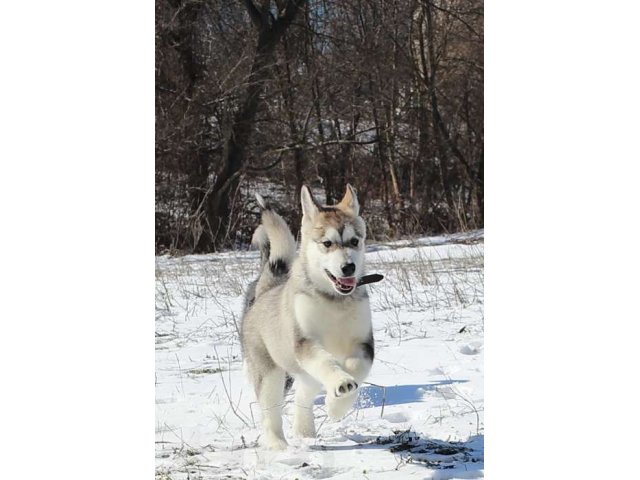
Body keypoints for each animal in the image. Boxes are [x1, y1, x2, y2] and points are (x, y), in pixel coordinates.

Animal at [242, 185, 378, 450]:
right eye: (327, 243)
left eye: (354, 241)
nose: (348, 267)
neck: (334, 301)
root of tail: (265, 291)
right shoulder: (305, 342)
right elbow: (327, 362)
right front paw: (341, 384)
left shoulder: (363, 342)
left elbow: (356, 367)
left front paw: (336, 406)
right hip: (271, 373)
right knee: (270, 411)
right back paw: (279, 446)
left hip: (305, 375)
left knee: (303, 397)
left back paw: (304, 432)